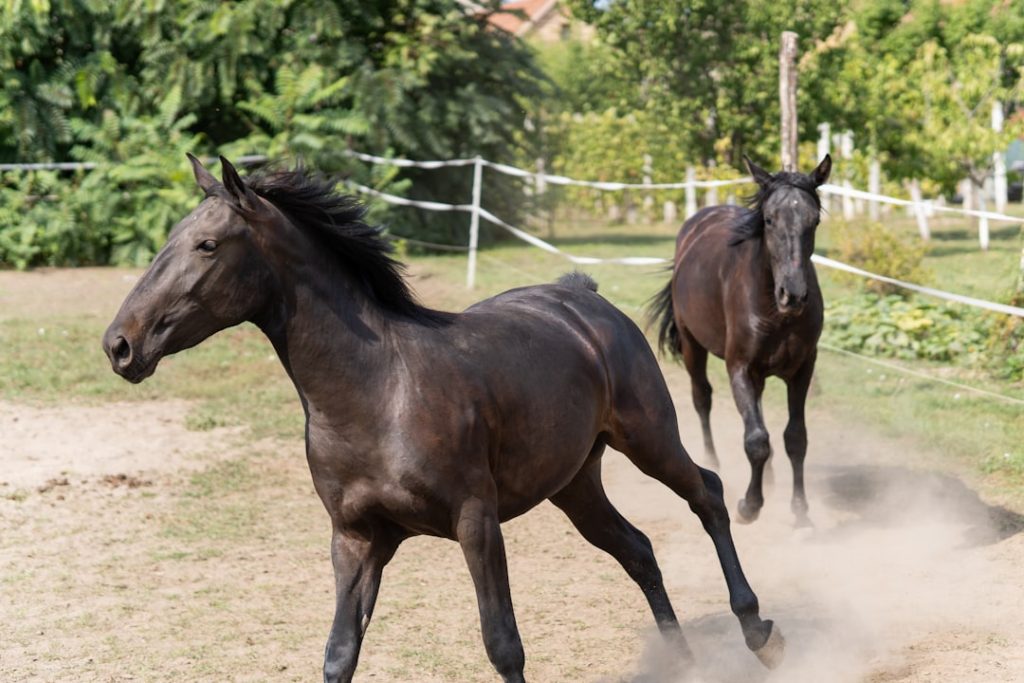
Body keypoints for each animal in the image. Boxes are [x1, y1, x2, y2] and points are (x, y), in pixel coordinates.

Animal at [102, 155, 785, 682]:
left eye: (208, 245)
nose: (120, 345)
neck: (378, 393)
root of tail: (584, 298)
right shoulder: (356, 540)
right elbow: (339, 653)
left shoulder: (476, 522)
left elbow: (503, 645)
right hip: (574, 484)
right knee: (638, 550)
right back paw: (684, 659)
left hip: (647, 438)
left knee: (708, 494)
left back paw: (758, 630)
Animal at [649, 155, 831, 528]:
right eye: (769, 219)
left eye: (814, 220)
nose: (793, 295)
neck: (775, 312)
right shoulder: (740, 368)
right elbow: (756, 440)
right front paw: (750, 505)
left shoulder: (802, 370)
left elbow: (795, 438)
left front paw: (800, 509)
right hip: (692, 346)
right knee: (702, 397)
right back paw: (712, 462)